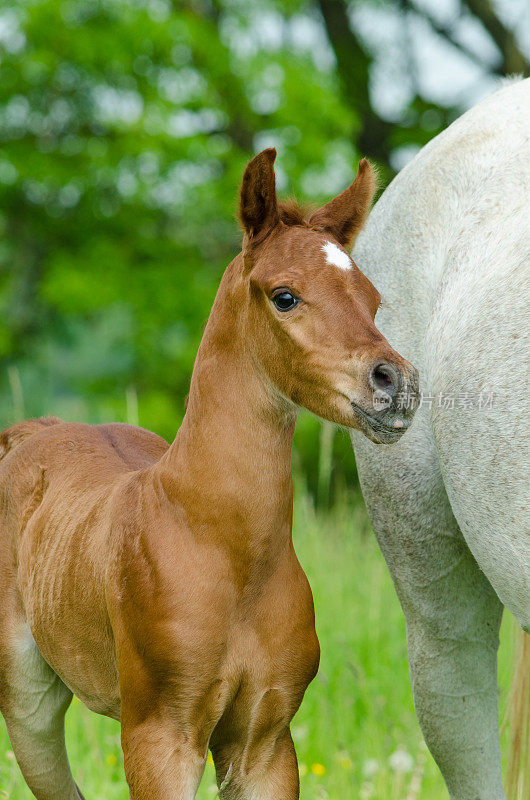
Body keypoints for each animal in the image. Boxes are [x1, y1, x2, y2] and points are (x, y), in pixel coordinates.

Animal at [0, 147, 416, 796]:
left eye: (371, 298)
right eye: (284, 296)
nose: (395, 385)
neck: (224, 550)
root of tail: (34, 429)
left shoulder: (265, 742)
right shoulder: (161, 738)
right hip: (28, 702)